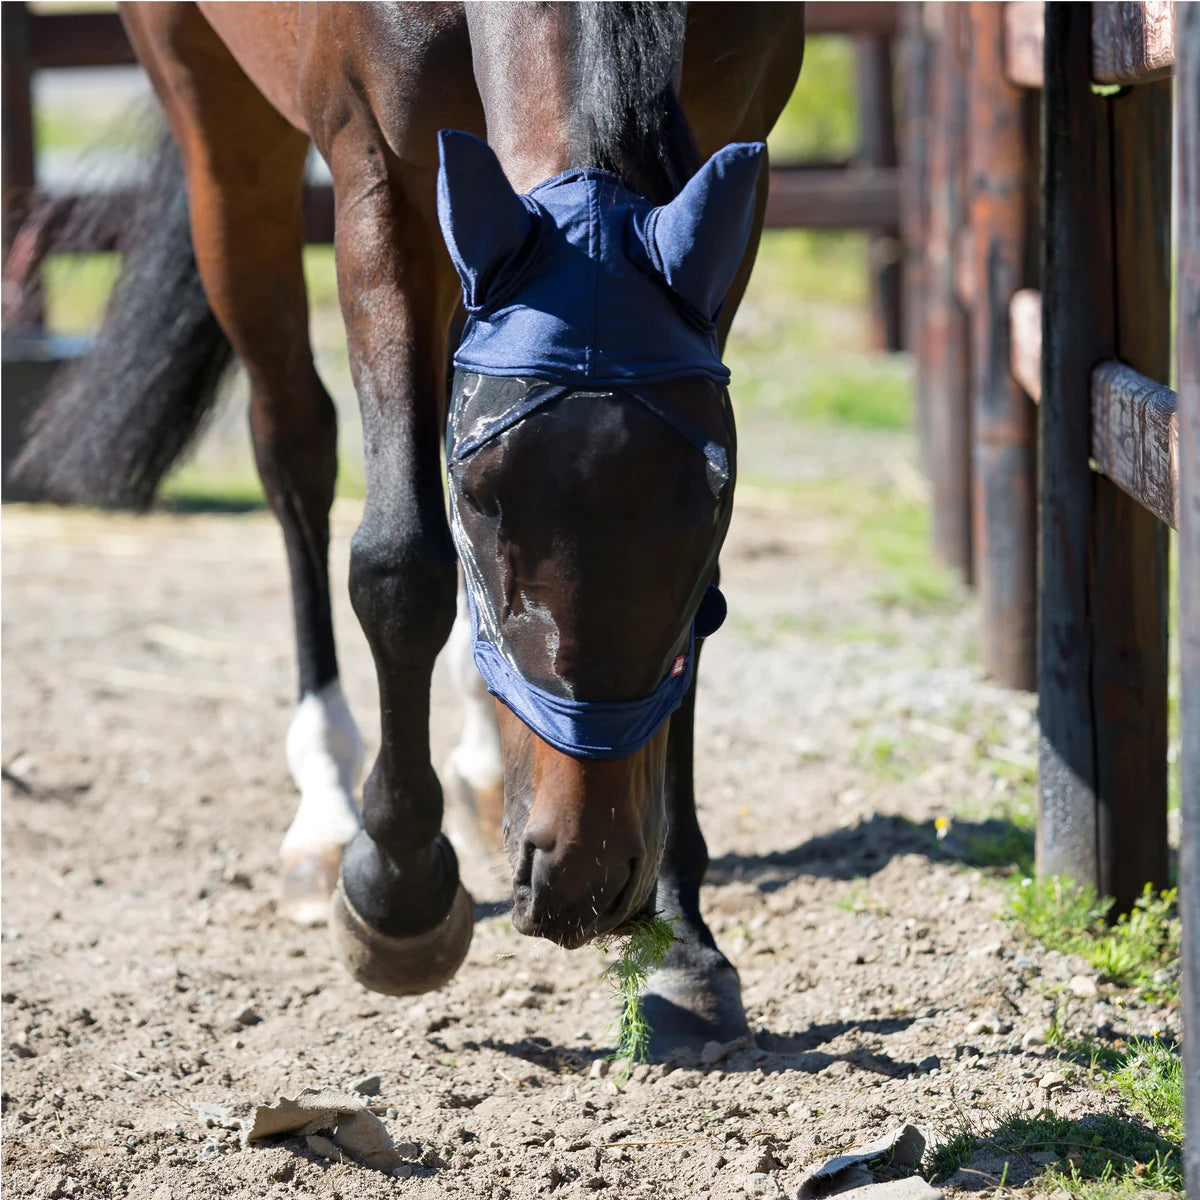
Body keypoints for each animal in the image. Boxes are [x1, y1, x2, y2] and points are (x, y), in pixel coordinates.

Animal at [11, 0, 806, 1051]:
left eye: (713, 499)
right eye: (478, 496)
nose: (583, 879)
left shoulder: (733, 146)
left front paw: (681, 940)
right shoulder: (376, 166)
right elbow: (399, 562)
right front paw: (396, 889)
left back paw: (479, 769)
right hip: (216, 117)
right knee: (293, 443)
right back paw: (326, 809)